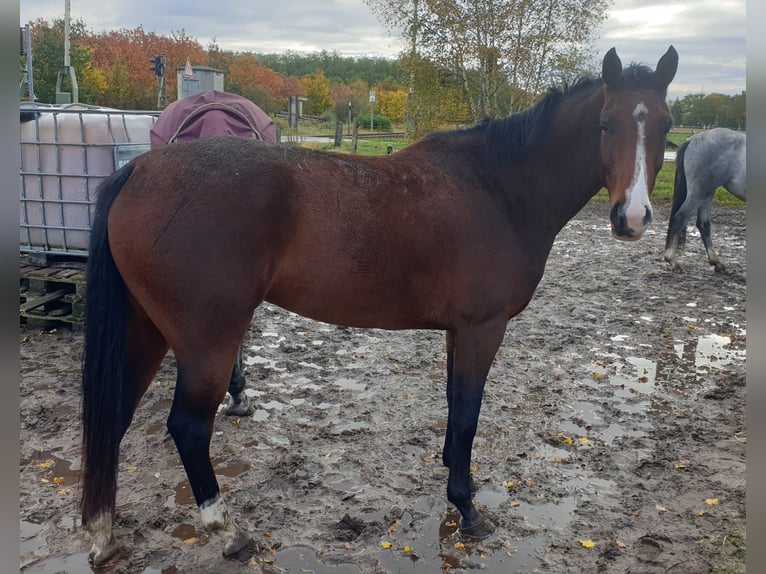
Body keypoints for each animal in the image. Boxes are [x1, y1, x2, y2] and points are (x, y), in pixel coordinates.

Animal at [79, 46, 680, 568]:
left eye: (666, 125)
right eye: (605, 124)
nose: (632, 218)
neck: (499, 189)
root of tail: (139, 172)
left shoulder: (457, 331)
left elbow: (453, 409)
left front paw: (457, 483)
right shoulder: (482, 329)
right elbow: (468, 413)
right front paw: (467, 509)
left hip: (146, 332)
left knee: (115, 416)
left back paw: (103, 534)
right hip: (208, 341)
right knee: (187, 428)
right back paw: (226, 530)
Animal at [664, 128, 748, 272]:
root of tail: (692, 140)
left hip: (707, 193)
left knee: (703, 224)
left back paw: (716, 262)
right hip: (700, 192)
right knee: (680, 218)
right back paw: (672, 260)